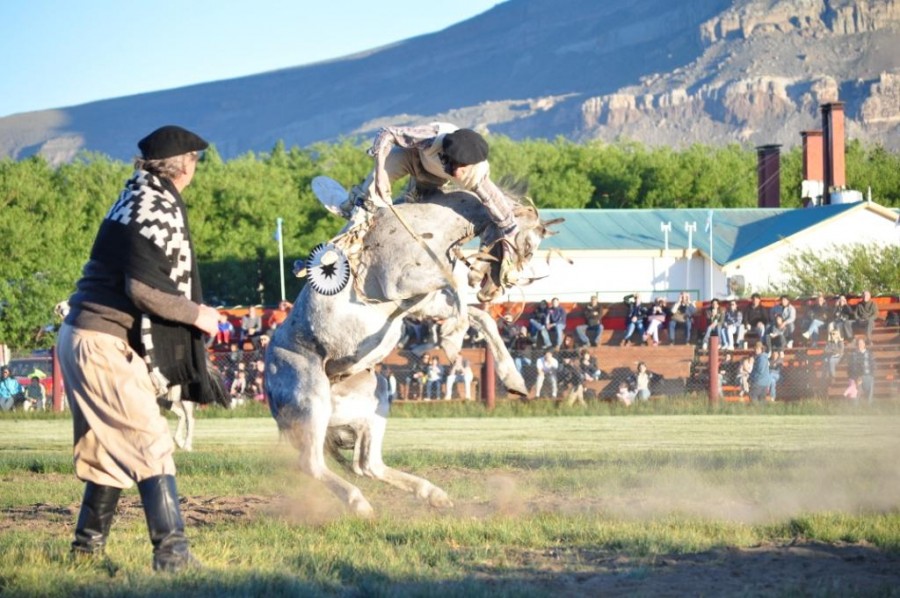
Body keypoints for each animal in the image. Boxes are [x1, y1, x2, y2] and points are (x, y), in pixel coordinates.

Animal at [264, 190, 556, 516]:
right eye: (527, 245)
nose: (493, 289)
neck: (426, 226)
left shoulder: (422, 301)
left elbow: (480, 316)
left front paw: (514, 379)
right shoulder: (402, 282)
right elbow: (456, 288)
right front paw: (452, 337)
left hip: (373, 396)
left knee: (368, 465)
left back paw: (432, 494)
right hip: (312, 400)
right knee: (311, 463)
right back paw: (360, 504)